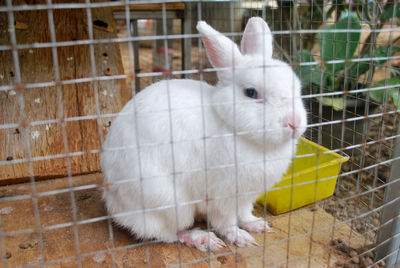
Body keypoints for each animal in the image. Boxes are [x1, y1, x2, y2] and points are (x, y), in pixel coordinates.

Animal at [101, 16, 306, 251]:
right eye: (251, 92)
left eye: (296, 87)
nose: (294, 122)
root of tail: (113, 202)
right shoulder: (222, 197)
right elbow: (226, 222)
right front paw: (240, 237)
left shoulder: (246, 197)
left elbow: (245, 213)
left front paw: (256, 225)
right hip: (170, 203)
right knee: (168, 233)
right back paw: (201, 238)